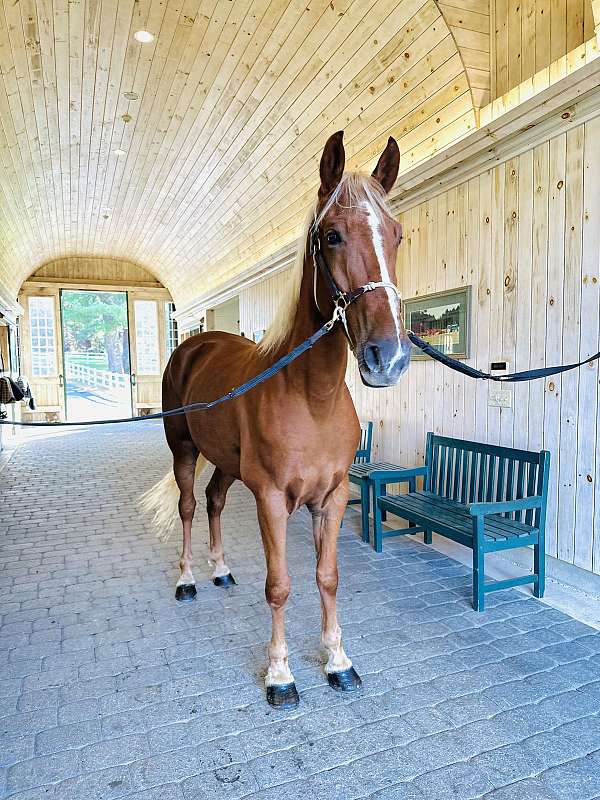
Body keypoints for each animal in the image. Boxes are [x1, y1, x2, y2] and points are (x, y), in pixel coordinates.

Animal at [141, 133, 412, 712]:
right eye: (332, 235)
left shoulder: (330, 497)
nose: (389, 358)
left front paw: (338, 661)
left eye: (397, 235)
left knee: (215, 501)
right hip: (184, 451)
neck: (312, 398)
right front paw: (280, 674)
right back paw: (189, 579)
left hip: (225, 463)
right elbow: (280, 585)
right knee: (190, 506)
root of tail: (194, 344)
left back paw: (221, 571)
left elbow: (327, 577)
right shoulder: (270, 499)